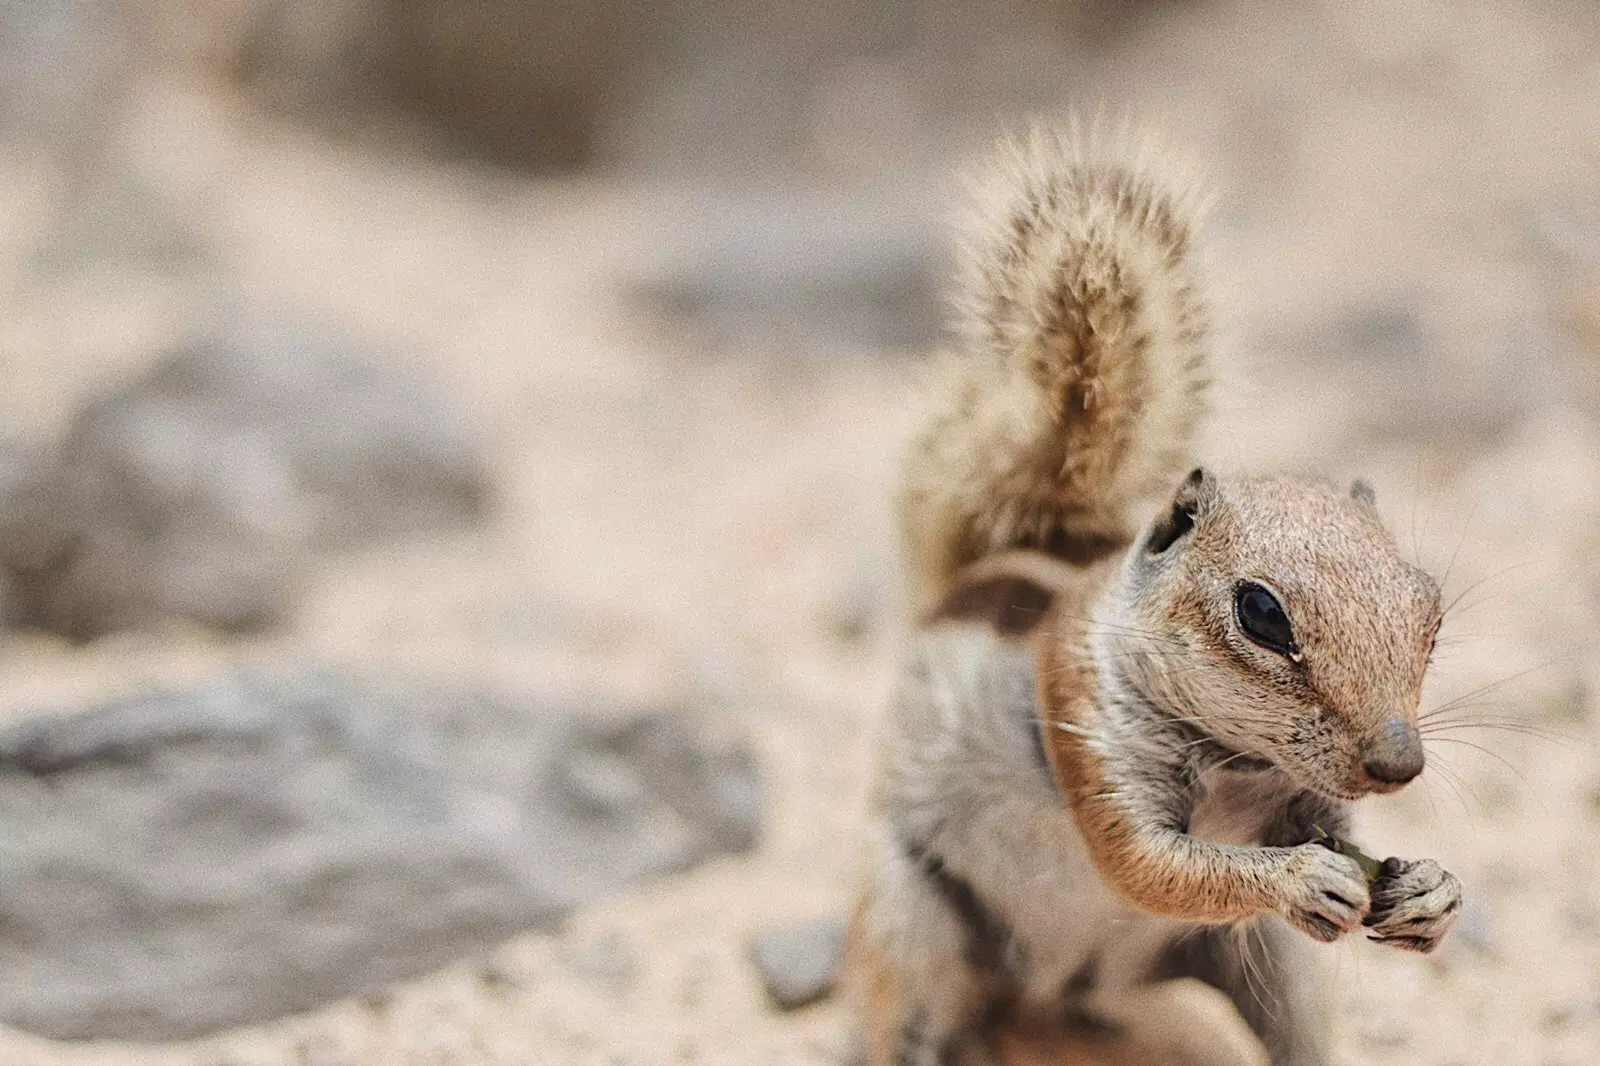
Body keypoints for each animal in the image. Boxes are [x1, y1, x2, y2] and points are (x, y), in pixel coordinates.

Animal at [851, 124, 1465, 1062]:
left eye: (1430, 610)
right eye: (1261, 615)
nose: (1400, 764)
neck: (1237, 765)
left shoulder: (1307, 801)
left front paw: (1431, 892)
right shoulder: (1086, 724)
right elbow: (1148, 864)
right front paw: (1299, 877)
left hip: (1265, 966)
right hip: (909, 921)